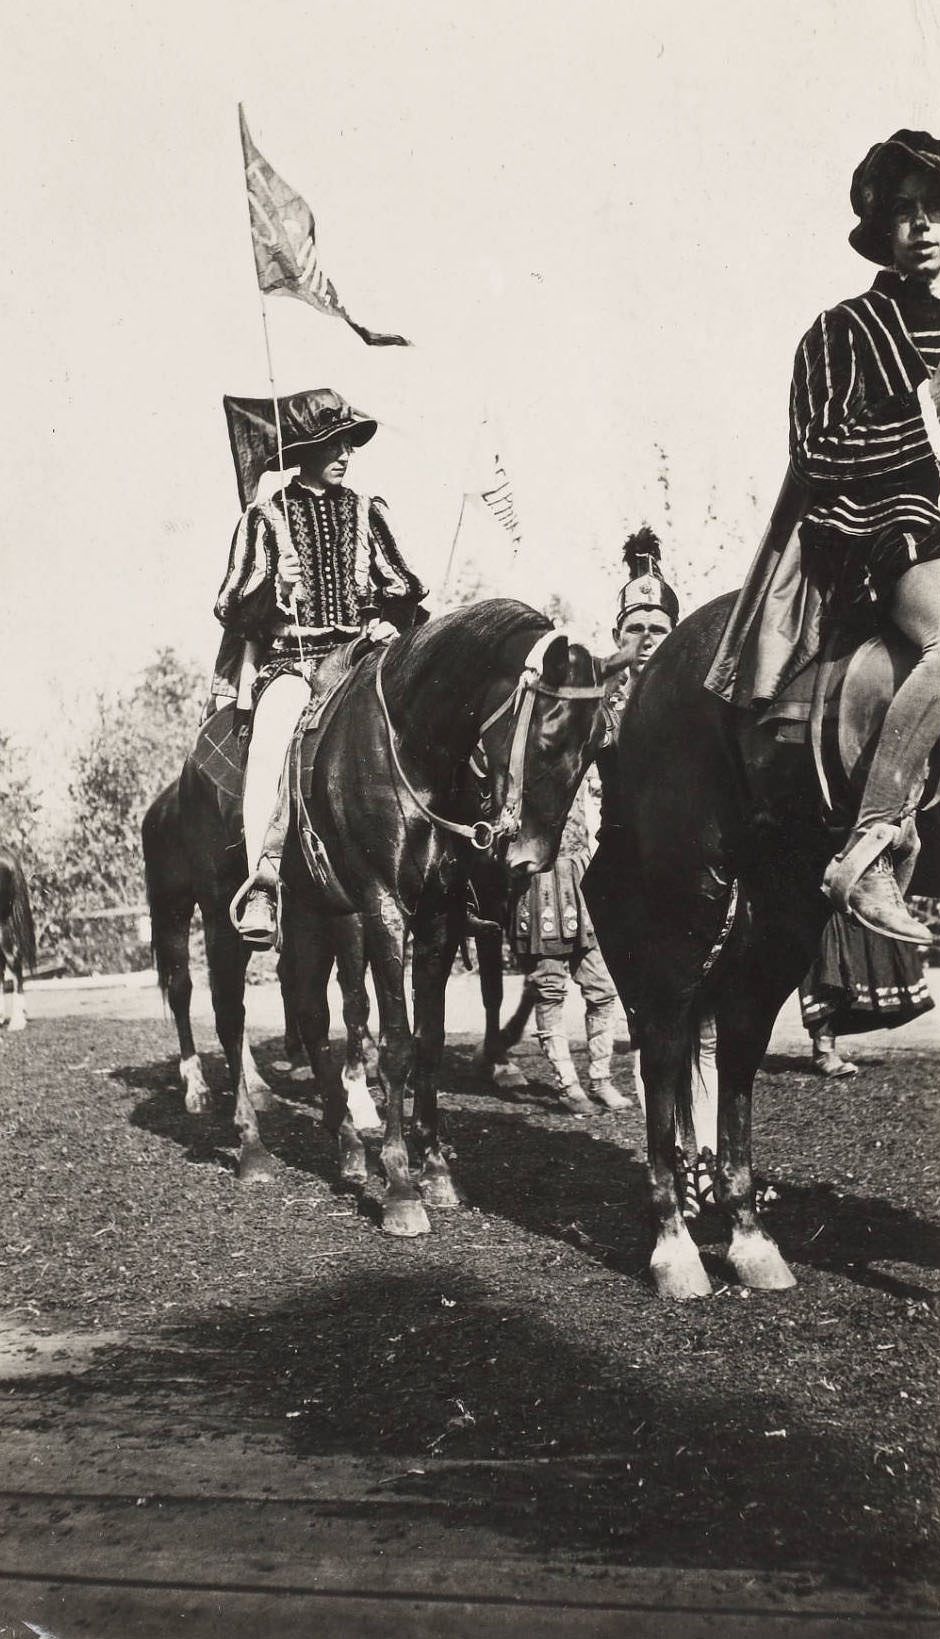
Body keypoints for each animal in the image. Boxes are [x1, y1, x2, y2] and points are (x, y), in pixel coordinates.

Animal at [586, 596, 936, 1298]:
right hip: (687, 896)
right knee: (665, 1043)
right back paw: (675, 1245)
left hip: (779, 910)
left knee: (737, 1046)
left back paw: (747, 1233)